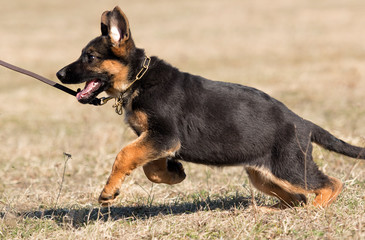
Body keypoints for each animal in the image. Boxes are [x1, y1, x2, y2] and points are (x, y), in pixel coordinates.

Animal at [55, 5, 362, 208]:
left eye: (90, 57)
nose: (59, 74)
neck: (138, 79)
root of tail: (303, 123)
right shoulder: (157, 140)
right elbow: (149, 167)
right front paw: (174, 174)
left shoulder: (163, 136)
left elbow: (124, 154)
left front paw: (109, 191)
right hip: (265, 174)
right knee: (296, 196)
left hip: (290, 167)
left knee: (330, 184)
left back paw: (315, 210)